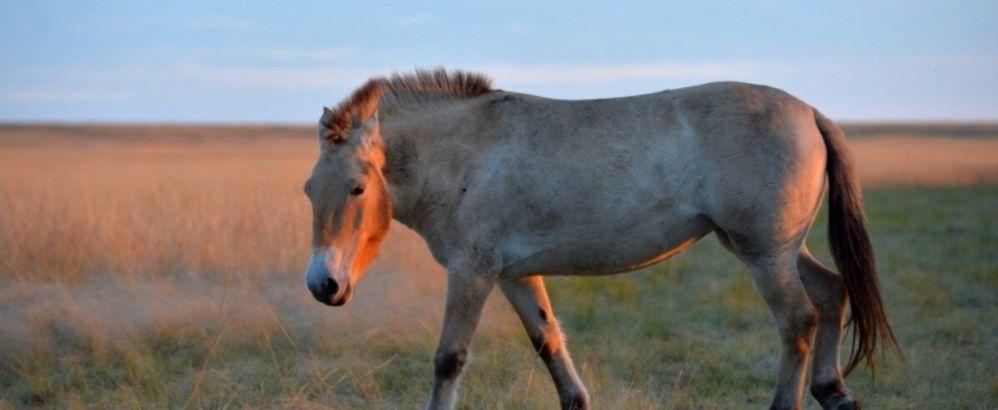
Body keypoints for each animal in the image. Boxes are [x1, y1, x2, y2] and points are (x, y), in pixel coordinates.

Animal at [300, 69, 904, 408]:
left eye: (357, 187)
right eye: (309, 189)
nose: (322, 285)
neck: (466, 150)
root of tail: (810, 112)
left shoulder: (472, 272)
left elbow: (449, 358)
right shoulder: (515, 275)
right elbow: (550, 343)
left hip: (765, 254)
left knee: (798, 321)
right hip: (773, 249)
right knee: (831, 292)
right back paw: (833, 393)